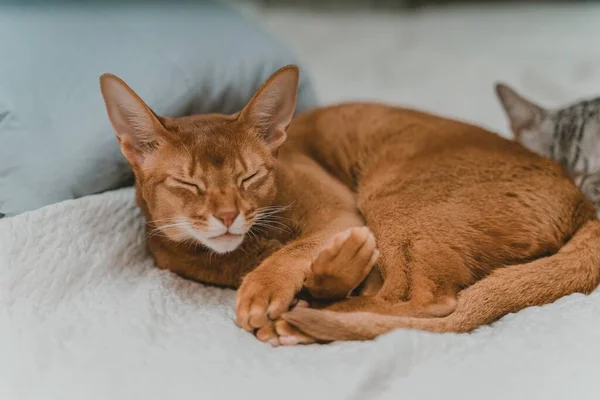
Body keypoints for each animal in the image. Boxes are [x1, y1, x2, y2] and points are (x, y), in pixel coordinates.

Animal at [99, 65, 600, 344]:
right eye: (188, 183)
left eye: (250, 176)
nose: (227, 216)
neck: (241, 252)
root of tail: (581, 199)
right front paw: (326, 273)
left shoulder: (340, 214)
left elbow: (293, 253)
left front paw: (265, 290)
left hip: (391, 197)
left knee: (431, 302)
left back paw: (305, 318)